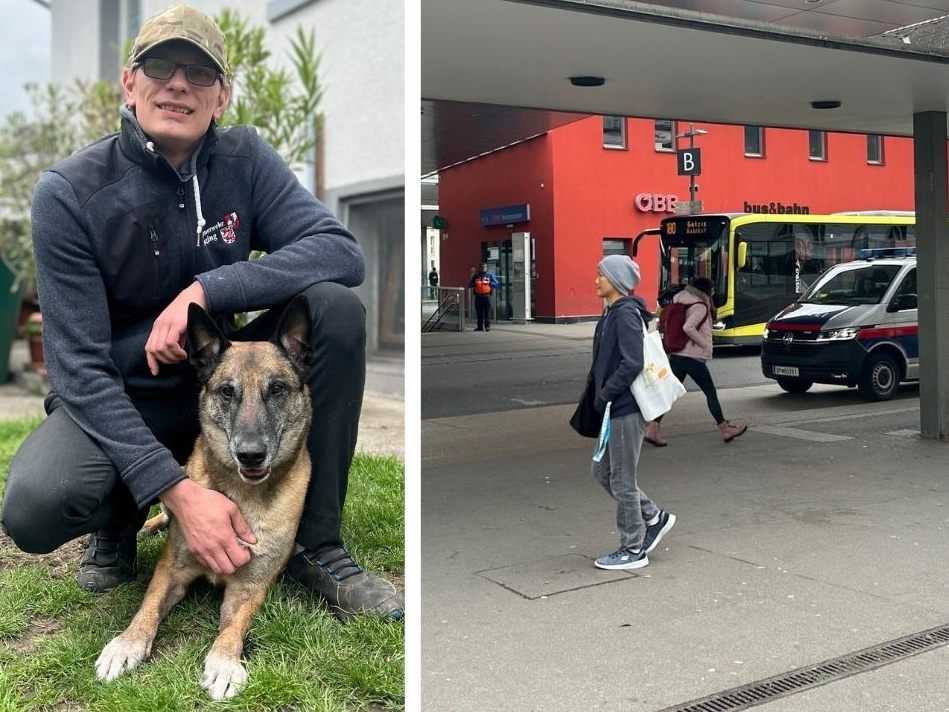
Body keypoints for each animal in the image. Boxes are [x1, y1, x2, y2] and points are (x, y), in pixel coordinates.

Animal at [95, 296, 312, 700]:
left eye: (277, 389)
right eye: (227, 391)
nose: (250, 454)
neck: (241, 494)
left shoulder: (250, 586)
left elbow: (232, 627)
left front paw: (224, 662)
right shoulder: (171, 569)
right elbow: (147, 607)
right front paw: (127, 643)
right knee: (164, 514)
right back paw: (147, 527)